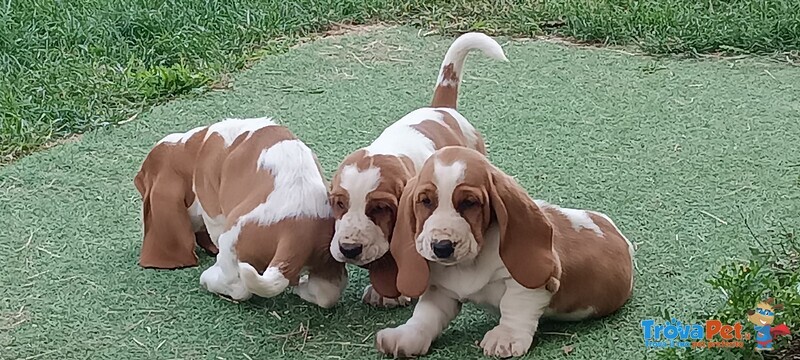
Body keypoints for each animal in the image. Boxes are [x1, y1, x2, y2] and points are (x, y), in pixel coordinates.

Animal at [135, 116, 346, 308]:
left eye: (140, 187)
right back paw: (300, 286)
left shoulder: (213, 212)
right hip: (327, 261)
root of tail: (295, 236)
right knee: (326, 293)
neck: (195, 148)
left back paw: (209, 279)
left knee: (238, 287)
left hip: (231, 241)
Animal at [376, 146, 636, 358]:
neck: (469, 264)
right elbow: (425, 315)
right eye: (425, 201)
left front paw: (506, 336)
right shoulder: (440, 292)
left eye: (469, 202)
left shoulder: (534, 285)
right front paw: (406, 335)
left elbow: (515, 305)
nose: (442, 247)